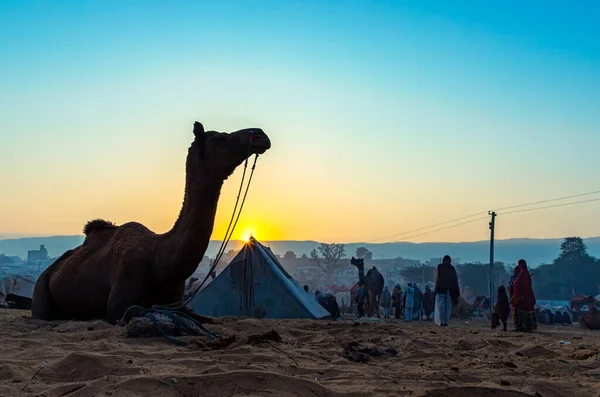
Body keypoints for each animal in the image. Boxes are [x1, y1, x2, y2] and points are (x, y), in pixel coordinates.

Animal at [30, 122, 270, 324]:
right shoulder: (121, 297)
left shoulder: (178, 301)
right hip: (41, 288)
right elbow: (131, 309)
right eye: (220, 138)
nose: (260, 134)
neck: (159, 257)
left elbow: (200, 316)